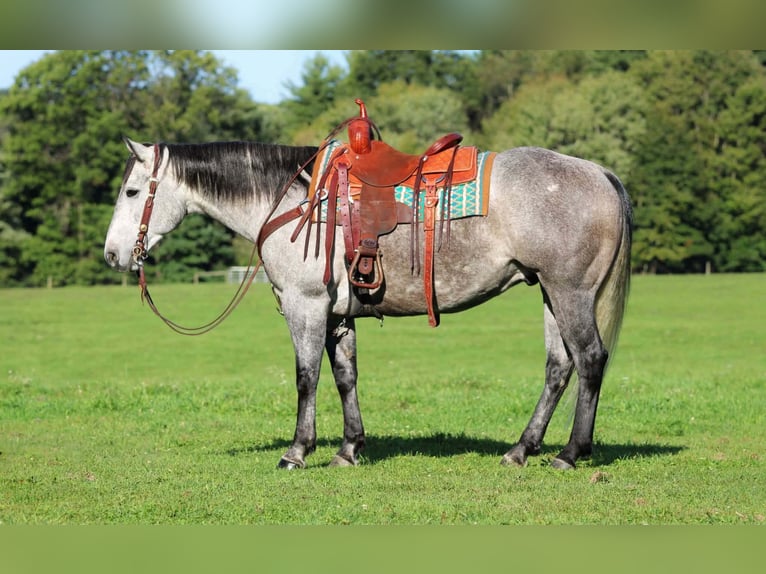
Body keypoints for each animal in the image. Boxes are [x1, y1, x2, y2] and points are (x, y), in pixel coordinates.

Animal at [104, 135, 632, 470]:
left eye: (132, 191)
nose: (112, 254)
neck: (296, 201)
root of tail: (601, 173)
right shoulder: (338, 315)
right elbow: (345, 377)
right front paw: (349, 448)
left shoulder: (305, 306)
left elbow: (307, 378)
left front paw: (298, 451)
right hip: (549, 292)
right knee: (558, 367)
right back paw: (522, 449)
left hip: (569, 292)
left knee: (589, 359)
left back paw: (570, 453)